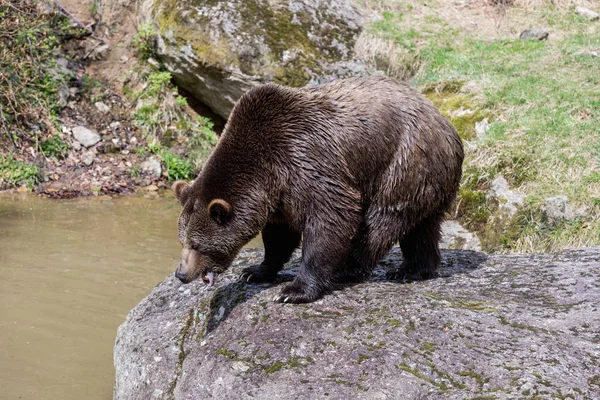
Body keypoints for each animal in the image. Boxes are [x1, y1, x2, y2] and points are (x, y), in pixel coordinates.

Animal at [172, 74, 464, 304]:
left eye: (197, 244)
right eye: (182, 241)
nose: (181, 274)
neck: (266, 171)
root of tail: (448, 126)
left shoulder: (305, 160)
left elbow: (331, 216)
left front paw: (293, 290)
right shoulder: (278, 197)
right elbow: (279, 235)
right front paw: (255, 270)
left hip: (403, 162)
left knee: (382, 221)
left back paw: (350, 267)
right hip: (427, 179)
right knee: (422, 227)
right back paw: (413, 270)